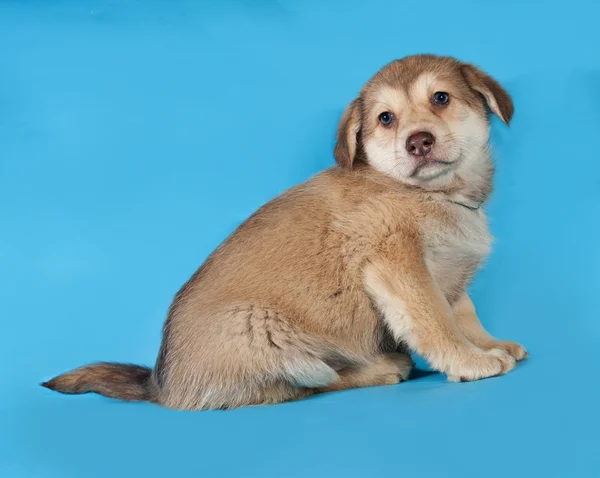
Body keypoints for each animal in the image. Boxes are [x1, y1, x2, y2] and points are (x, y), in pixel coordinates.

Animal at [44, 54, 528, 408]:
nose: (418, 142)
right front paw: (470, 361)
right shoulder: (398, 267)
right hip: (268, 334)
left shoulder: (449, 274)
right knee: (307, 385)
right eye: (386, 119)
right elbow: (436, 320)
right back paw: (383, 368)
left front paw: (490, 344)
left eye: (441, 98)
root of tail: (162, 387)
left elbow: (463, 311)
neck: (430, 194)